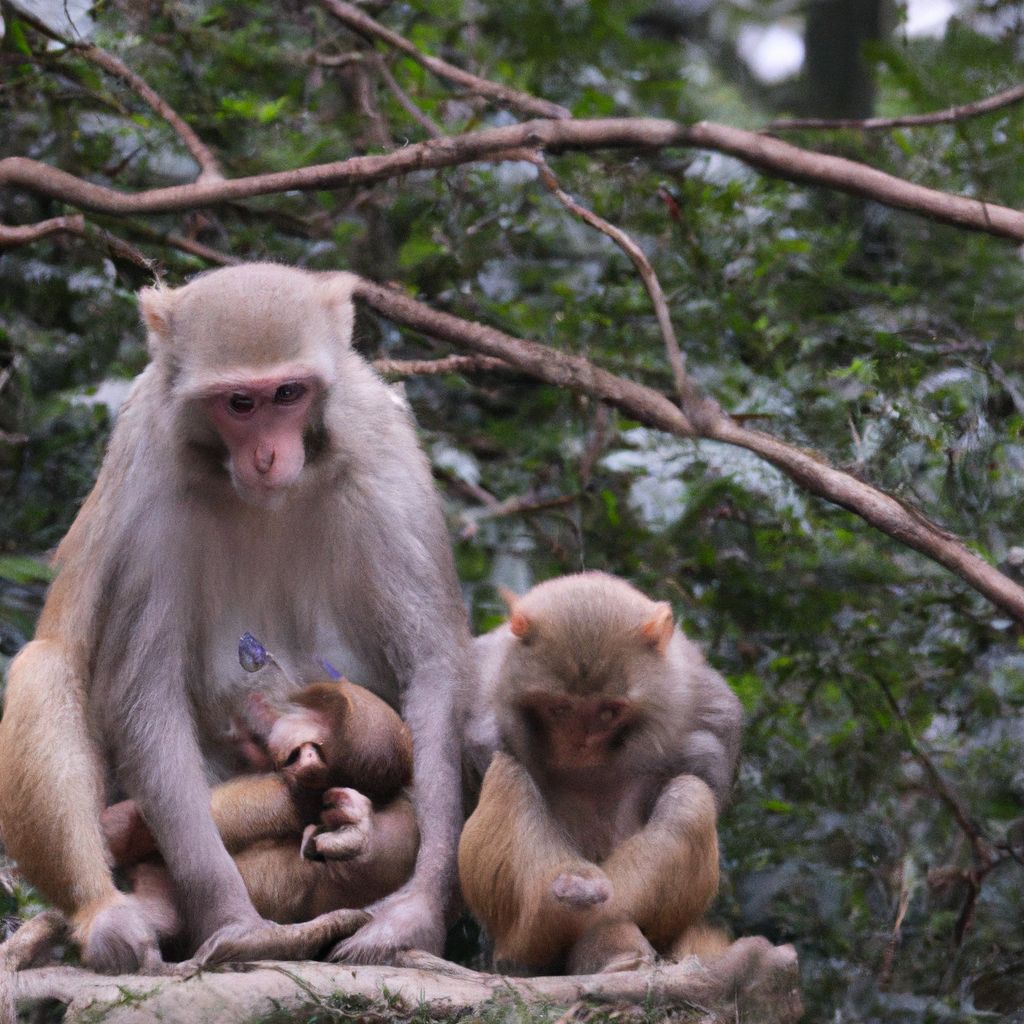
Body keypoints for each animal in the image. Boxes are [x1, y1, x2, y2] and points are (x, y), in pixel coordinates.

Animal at [0, 262, 471, 966]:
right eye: (239, 404)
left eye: (288, 393)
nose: (268, 456)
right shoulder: (155, 477)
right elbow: (144, 695)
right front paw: (232, 919)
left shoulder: (382, 450)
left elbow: (433, 669)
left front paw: (414, 913)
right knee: (47, 664)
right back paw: (111, 913)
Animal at [460, 577, 741, 974]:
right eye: (561, 709)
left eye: (609, 712)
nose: (581, 744)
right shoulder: (486, 671)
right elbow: (483, 741)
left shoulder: (688, 687)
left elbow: (711, 754)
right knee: (507, 773)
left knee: (688, 797)